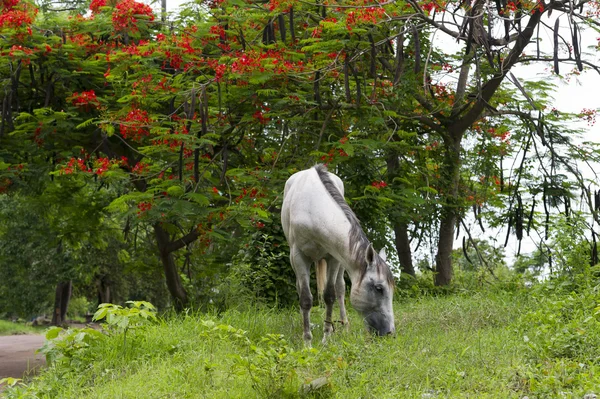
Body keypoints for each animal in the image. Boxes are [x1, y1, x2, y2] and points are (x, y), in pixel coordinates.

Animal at [282, 164, 396, 346]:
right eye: (379, 288)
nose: (389, 332)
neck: (315, 211)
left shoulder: (334, 257)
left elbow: (330, 295)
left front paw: (326, 338)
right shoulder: (298, 257)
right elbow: (306, 299)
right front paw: (307, 342)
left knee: (340, 288)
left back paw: (345, 325)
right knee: (301, 288)